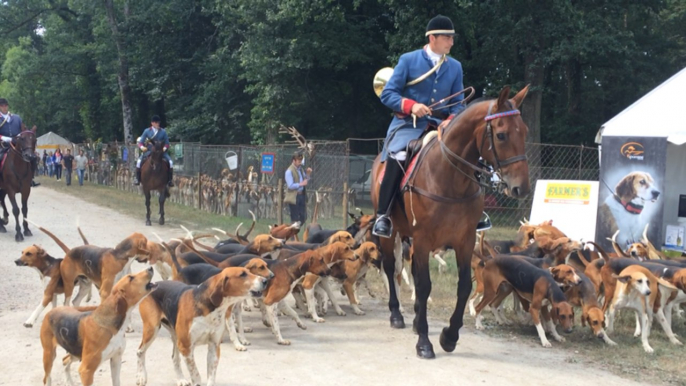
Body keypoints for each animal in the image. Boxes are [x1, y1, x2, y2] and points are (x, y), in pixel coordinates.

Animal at [374, 85, 536, 358]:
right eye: (501, 135)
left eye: (524, 131)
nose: (521, 188)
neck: (449, 179)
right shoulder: (424, 238)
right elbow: (424, 285)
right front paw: (425, 343)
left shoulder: (465, 240)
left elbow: (463, 287)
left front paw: (449, 337)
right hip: (393, 234)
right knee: (390, 267)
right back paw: (396, 315)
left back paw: (416, 320)